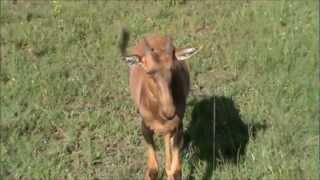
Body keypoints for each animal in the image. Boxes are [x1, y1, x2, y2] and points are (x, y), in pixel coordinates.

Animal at [120, 30, 199, 179]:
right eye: (149, 71)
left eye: (172, 68)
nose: (169, 112)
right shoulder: (145, 129)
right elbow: (153, 170)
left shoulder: (177, 128)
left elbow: (176, 171)